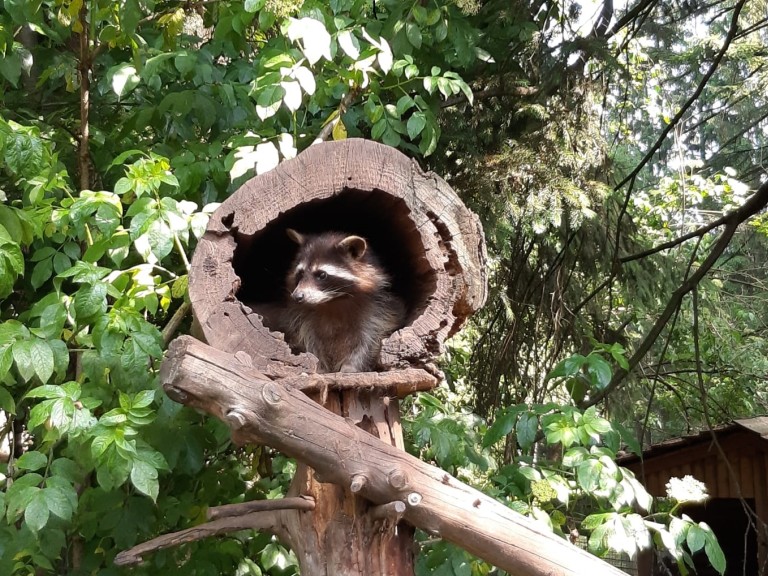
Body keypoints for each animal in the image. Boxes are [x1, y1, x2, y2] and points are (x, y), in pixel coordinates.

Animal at [284, 227, 404, 372]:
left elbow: (368, 340)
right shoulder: (303, 315)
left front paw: (351, 366)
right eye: (300, 273)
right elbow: (309, 338)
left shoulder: (377, 310)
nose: (297, 296)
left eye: (322, 275)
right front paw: (320, 365)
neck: (333, 301)